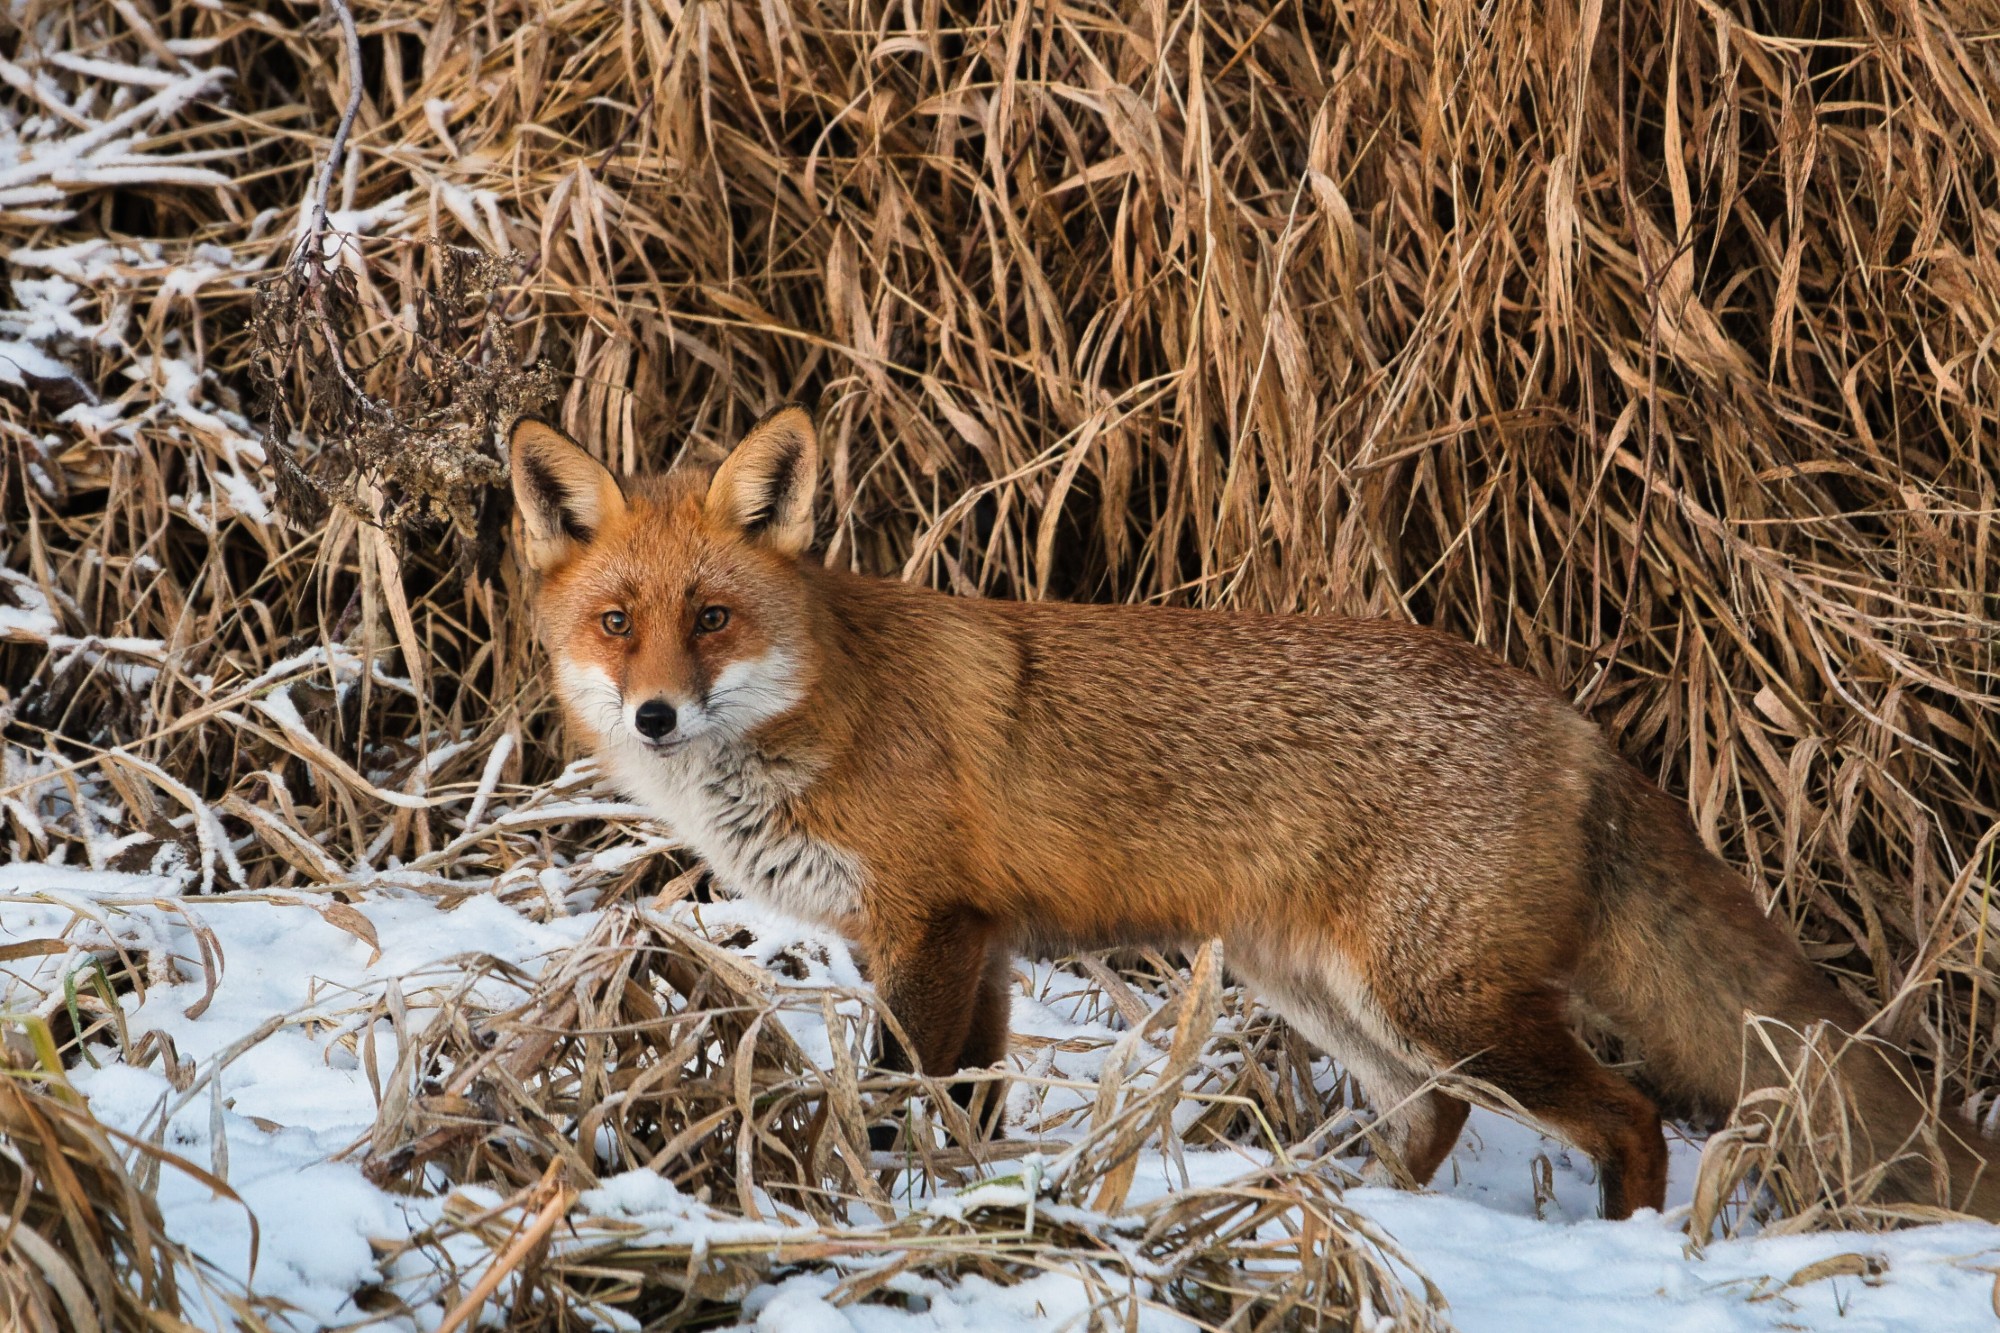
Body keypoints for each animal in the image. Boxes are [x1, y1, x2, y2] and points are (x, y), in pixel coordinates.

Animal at [509, 403, 1997, 1220]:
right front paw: (968, 1205)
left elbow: (902, 1102)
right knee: (1429, 1121)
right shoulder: (975, 948)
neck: (824, 709)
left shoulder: (933, 931)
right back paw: (1362, 1222)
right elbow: (969, 1107)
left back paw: (1613, 1252)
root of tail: (1565, 715)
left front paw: (895, 1205)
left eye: (711, 618)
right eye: (617, 623)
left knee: (1628, 1116)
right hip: (1338, 995)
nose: (653, 715)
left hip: (1446, 1002)